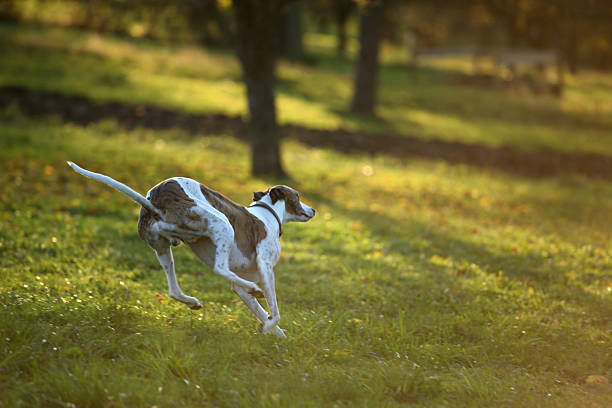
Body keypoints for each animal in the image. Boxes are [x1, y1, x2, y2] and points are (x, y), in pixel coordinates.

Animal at [67, 161, 316, 336]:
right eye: (297, 196)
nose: (313, 210)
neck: (267, 213)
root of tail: (155, 202)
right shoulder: (266, 268)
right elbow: (274, 308)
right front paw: (270, 326)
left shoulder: (239, 286)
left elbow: (260, 311)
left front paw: (276, 334)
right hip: (222, 225)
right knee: (219, 268)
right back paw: (254, 289)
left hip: (163, 249)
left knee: (173, 289)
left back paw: (192, 301)